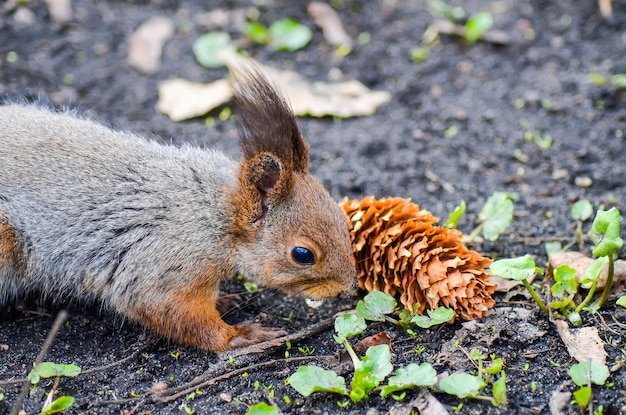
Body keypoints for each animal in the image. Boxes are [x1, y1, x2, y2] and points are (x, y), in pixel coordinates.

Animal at [0, 66, 356, 352]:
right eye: (302, 254)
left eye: (343, 220)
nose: (347, 288)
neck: (215, 215)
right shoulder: (162, 265)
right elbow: (172, 312)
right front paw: (237, 336)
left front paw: (223, 300)